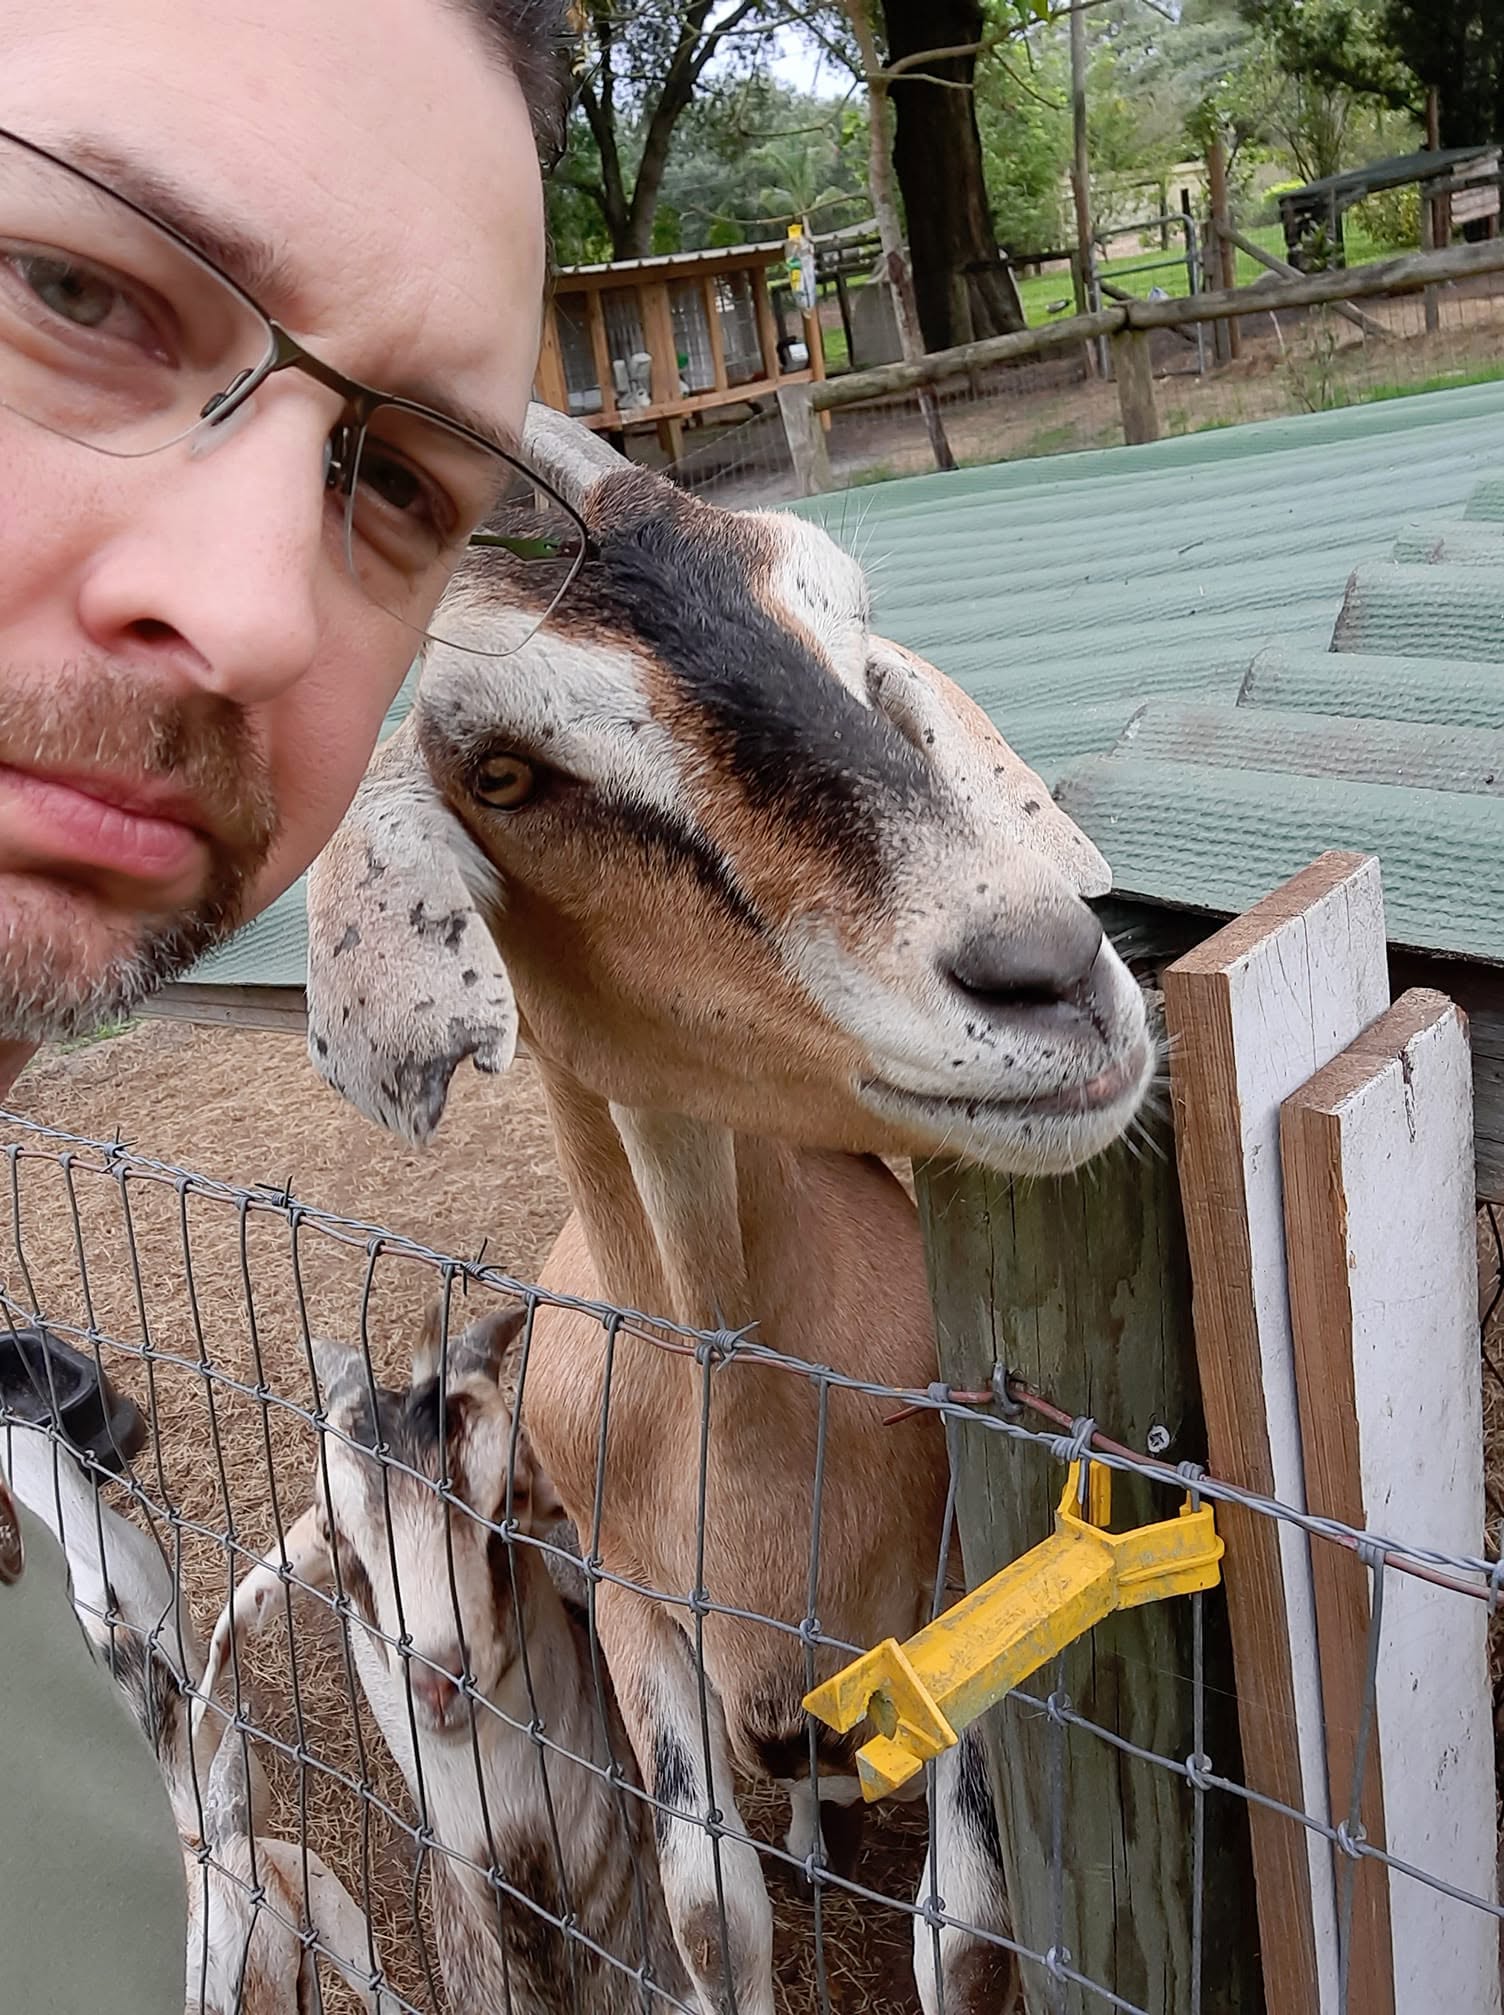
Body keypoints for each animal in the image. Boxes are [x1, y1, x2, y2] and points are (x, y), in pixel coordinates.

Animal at [303, 408, 1153, 2015]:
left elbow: (968, 1919)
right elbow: (711, 1913)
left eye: (843, 627)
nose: (1051, 970)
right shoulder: (640, 1613)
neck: (736, 1381)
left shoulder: (955, 1590)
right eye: (500, 770)